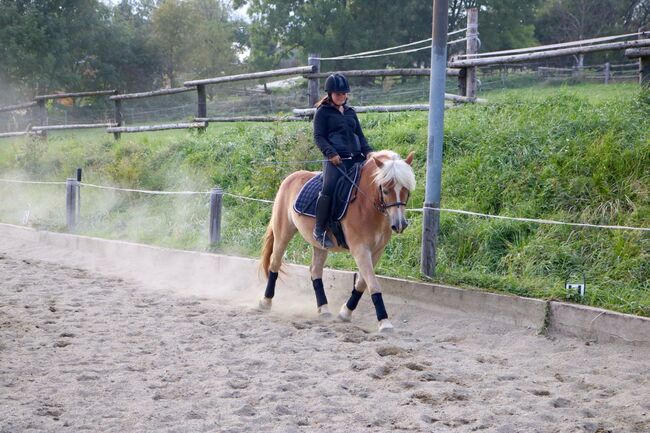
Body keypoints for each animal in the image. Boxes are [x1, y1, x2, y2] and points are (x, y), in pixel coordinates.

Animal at [258, 148, 416, 330]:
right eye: (385, 190)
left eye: (406, 189)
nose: (400, 224)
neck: (367, 204)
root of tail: (290, 177)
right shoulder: (360, 249)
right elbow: (373, 284)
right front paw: (384, 322)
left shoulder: (377, 251)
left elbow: (362, 283)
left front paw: (345, 313)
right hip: (283, 233)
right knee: (275, 264)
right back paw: (265, 302)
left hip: (319, 244)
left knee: (315, 270)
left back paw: (324, 309)